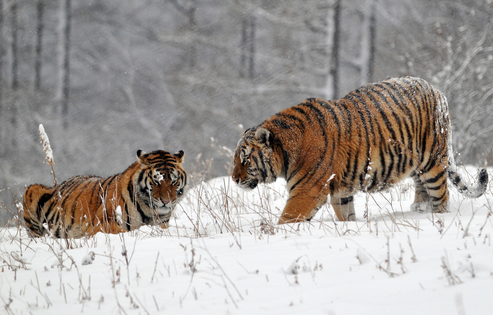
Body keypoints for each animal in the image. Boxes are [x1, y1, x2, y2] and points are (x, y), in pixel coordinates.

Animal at [21, 150, 187, 237]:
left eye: (174, 181)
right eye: (156, 181)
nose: (166, 201)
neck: (149, 208)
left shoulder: (162, 224)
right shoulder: (101, 223)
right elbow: (121, 232)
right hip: (32, 191)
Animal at [233, 76, 486, 225]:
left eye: (245, 159)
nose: (234, 179)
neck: (287, 152)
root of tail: (436, 90)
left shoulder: (305, 192)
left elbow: (286, 219)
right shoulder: (341, 192)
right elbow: (347, 215)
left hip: (433, 161)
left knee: (442, 196)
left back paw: (435, 216)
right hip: (415, 164)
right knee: (421, 186)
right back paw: (418, 209)